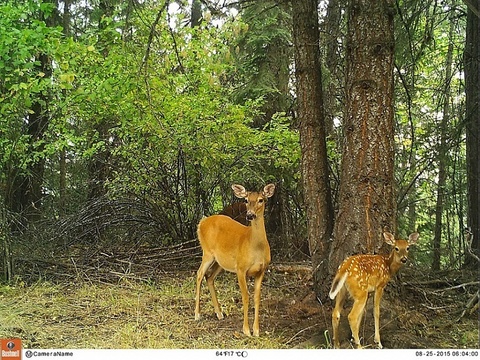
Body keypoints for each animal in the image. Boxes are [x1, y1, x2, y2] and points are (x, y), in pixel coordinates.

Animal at [194, 184, 274, 336]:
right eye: (246, 200)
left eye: (261, 200)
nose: (250, 215)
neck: (255, 246)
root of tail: (201, 222)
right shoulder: (241, 269)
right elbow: (245, 297)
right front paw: (246, 330)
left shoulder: (261, 270)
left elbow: (257, 297)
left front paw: (256, 330)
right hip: (207, 252)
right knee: (199, 274)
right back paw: (197, 314)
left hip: (221, 261)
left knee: (209, 277)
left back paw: (219, 313)